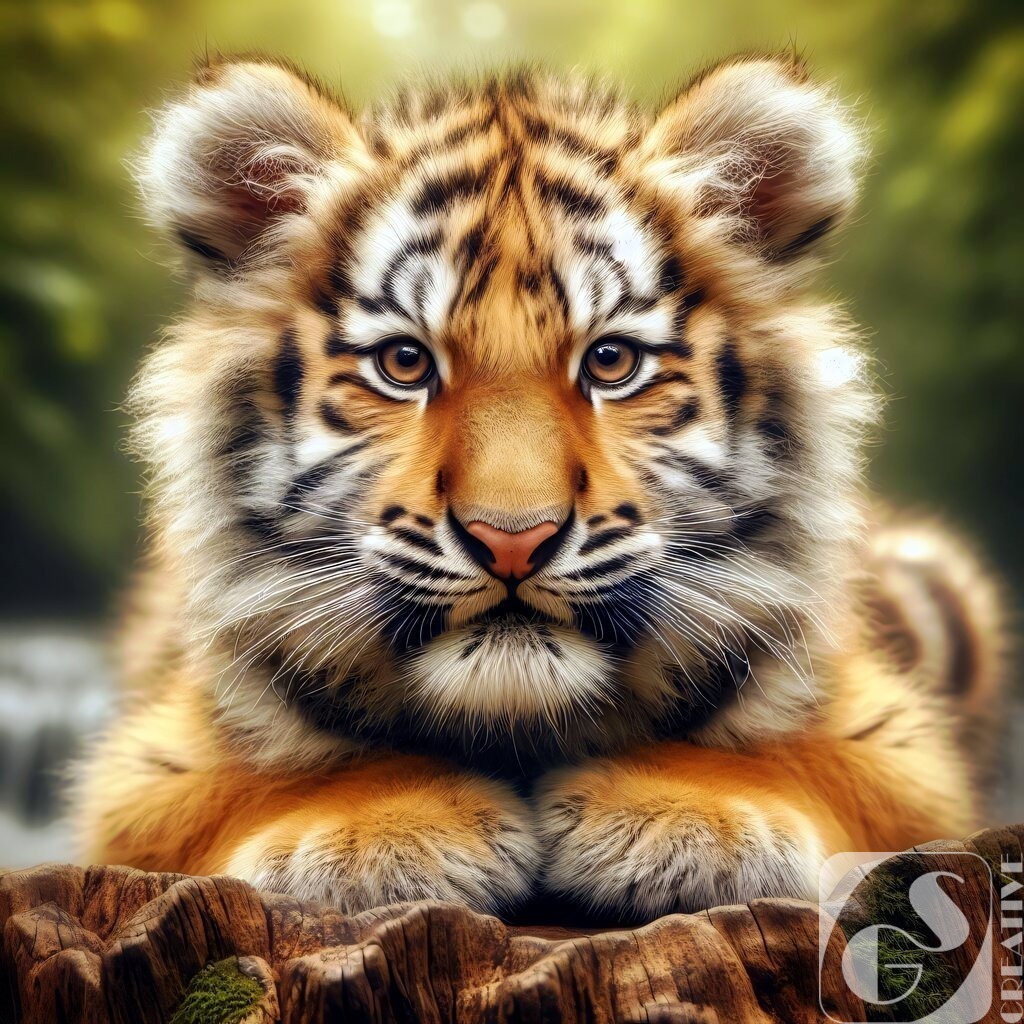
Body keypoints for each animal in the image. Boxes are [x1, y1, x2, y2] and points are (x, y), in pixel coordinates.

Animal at [75, 52, 1006, 919]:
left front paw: (685, 812)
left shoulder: (900, 737)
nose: (512, 538)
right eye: (404, 363)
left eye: (612, 361)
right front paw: (379, 830)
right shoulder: (147, 758)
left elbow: (818, 759)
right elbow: (257, 773)